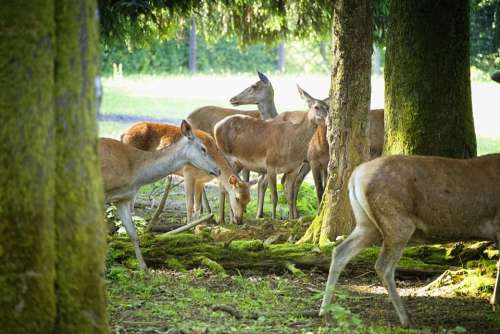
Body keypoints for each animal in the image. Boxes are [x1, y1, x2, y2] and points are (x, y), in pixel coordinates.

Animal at [100, 120, 220, 268]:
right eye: (203, 148)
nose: (218, 170)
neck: (134, 172)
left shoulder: (122, 198)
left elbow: (132, 233)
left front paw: (144, 268)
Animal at [120, 121, 250, 223]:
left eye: (248, 200)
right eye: (237, 198)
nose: (239, 220)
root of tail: (123, 134)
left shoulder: (200, 181)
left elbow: (197, 205)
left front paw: (198, 224)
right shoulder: (188, 173)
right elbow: (189, 204)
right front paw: (188, 225)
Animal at [214, 86, 328, 219]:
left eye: (328, 107)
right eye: (316, 107)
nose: (328, 119)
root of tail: (216, 126)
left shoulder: (294, 169)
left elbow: (290, 195)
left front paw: (291, 218)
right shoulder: (271, 165)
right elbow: (274, 197)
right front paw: (274, 218)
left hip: (238, 163)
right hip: (225, 156)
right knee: (222, 185)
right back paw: (225, 218)